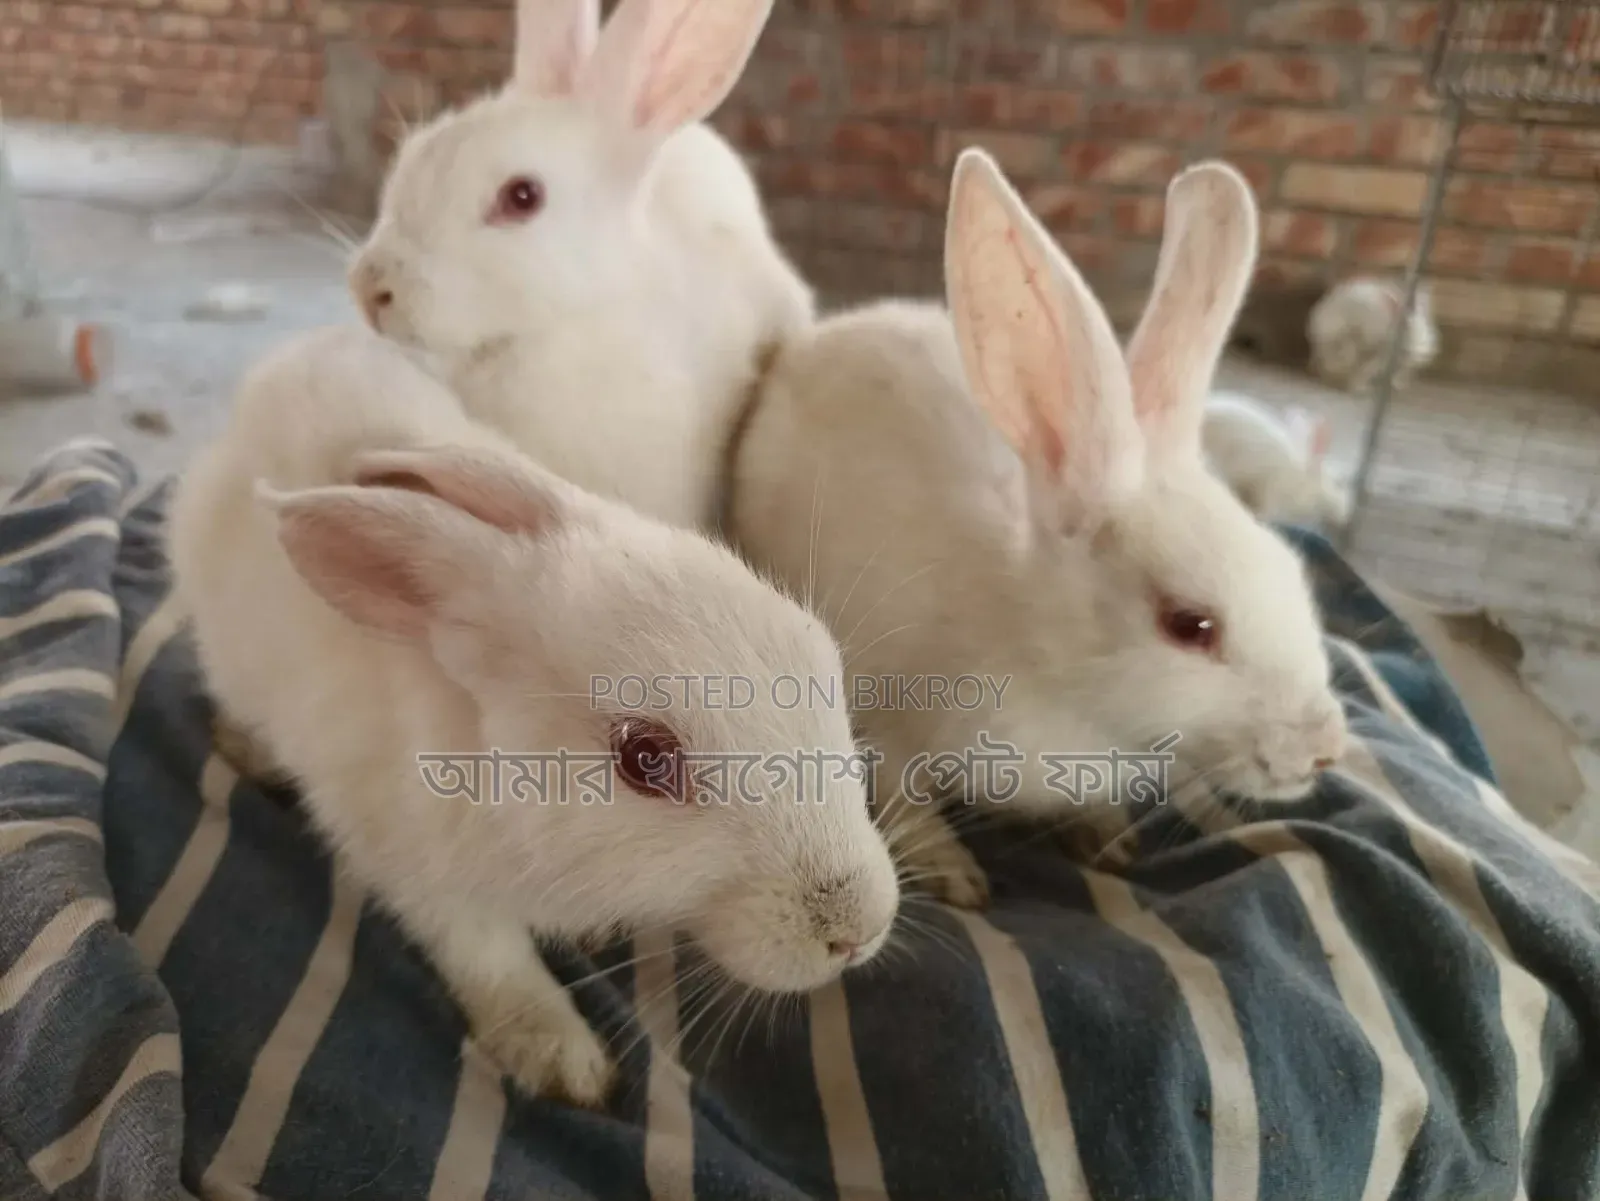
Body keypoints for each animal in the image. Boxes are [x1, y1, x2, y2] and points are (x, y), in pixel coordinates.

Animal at [166, 324, 899, 1105]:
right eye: (645, 759)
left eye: (819, 658)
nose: (859, 929)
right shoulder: (419, 873)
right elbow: (490, 957)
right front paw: (563, 1062)